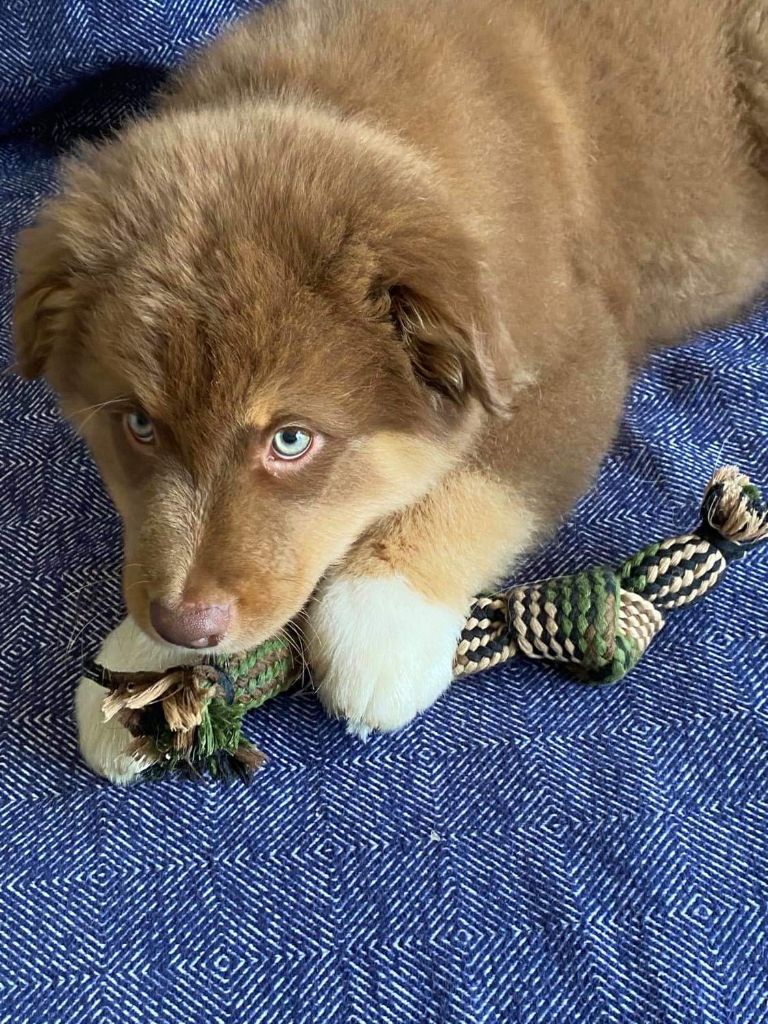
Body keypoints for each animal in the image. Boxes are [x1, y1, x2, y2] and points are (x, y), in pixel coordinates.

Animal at [14, 0, 768, 782]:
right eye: (137, 425)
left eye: (291, 440)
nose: (184, 625)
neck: (339, 107)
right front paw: (148, 672)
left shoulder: (576, 357)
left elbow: (484, 484)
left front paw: (381, 615)